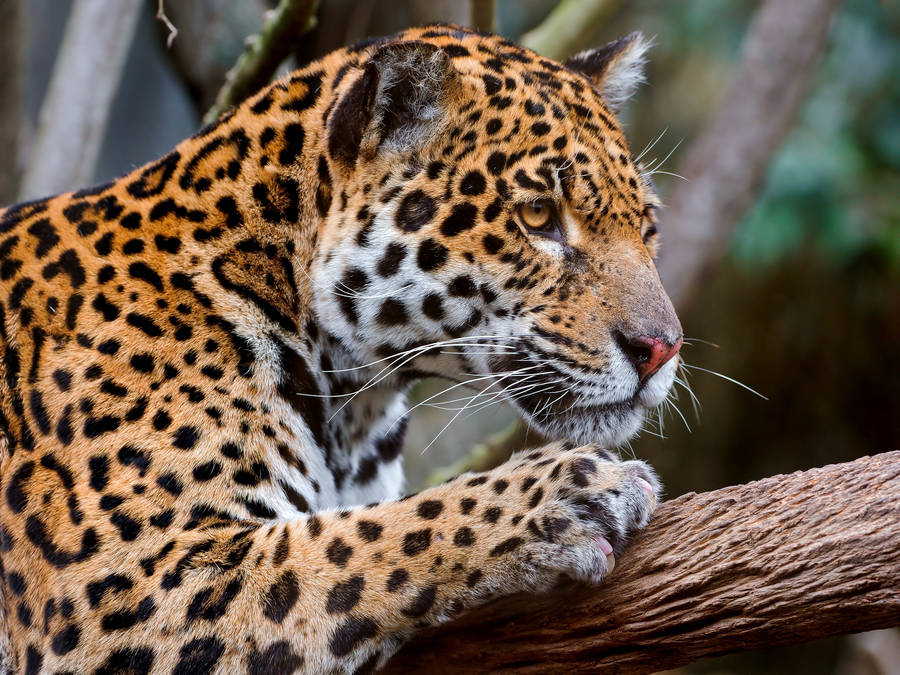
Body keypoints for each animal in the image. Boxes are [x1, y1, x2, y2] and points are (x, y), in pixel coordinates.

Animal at [0, 24, 682, 673]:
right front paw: (564, 493)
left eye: (648, 227)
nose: (661, 349)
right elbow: (359, 540)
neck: (354, 396)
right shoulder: (118, 590)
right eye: (538, 217)